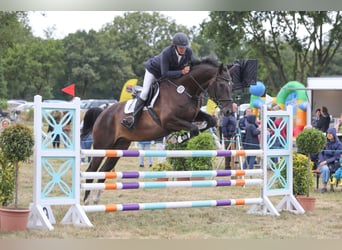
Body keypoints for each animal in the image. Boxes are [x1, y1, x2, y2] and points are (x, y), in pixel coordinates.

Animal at [83, 57, 235, 205]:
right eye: (221, 85)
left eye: (231, 85)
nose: (228, 111)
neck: (184, 90)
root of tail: (103, 112)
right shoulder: (168, 121)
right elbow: (194, 128)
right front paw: (180, 138)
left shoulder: (194, 116)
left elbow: (210, 121)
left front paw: (186, 136)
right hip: (102, 145)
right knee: (91, 170)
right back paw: (86, 201)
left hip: (119, 146)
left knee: (104, 170)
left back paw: (96, 199)